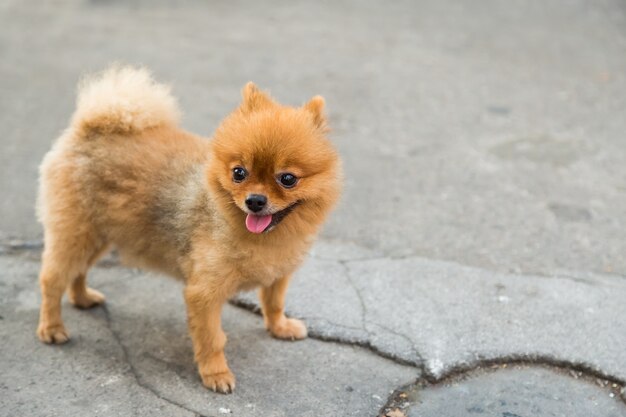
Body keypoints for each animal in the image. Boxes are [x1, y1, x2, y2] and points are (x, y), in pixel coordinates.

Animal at [36, 66, 338, 394]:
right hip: (77, 232)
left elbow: (274, 302)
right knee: (52, 279)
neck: (261, 238)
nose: (255, 201)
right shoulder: (204, 293)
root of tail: (87, 128)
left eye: (287, 179)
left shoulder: (279, 274)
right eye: (239, 173)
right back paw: (52, 328)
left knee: (78, 270)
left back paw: (82, 298)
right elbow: (212, 338)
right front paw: (216, 374)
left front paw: (279, 327)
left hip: (99, 235)